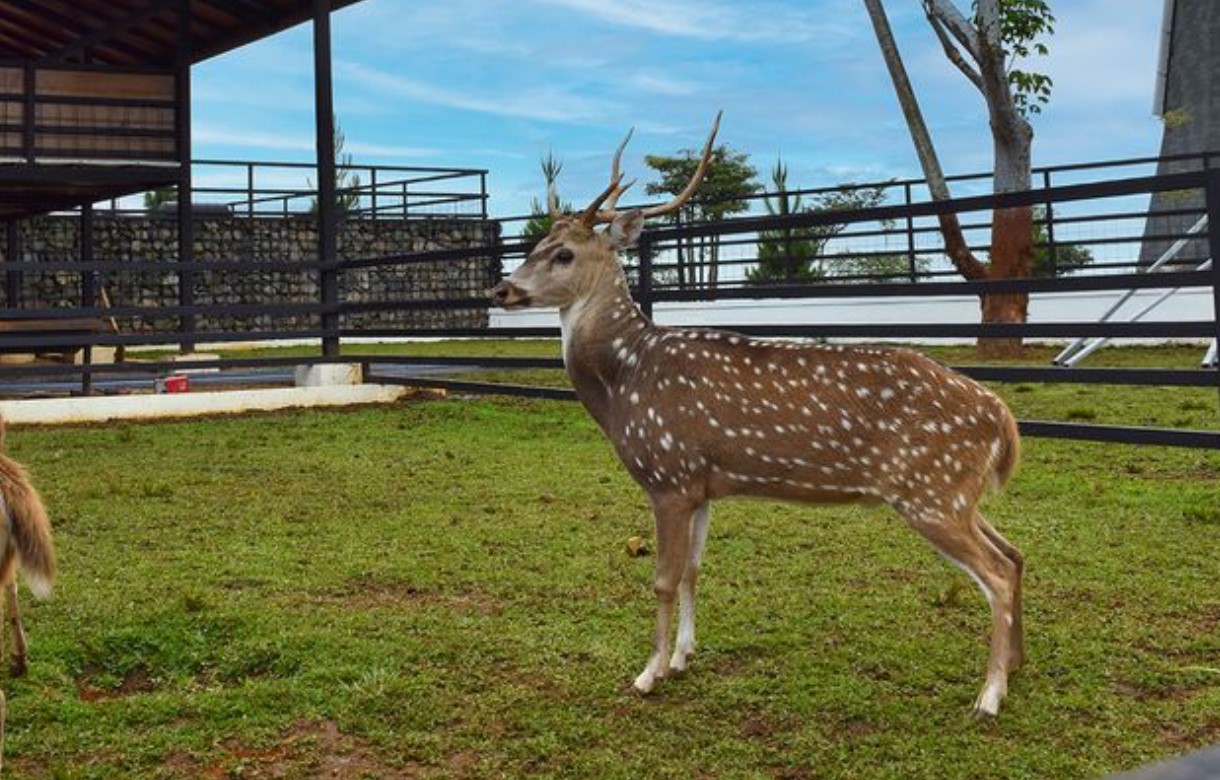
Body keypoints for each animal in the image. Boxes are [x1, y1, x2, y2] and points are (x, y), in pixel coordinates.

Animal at [490, 112, 1024, 717]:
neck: (623, 382)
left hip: (932, 491)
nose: (501, 288)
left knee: (997, 573)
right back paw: (1015, 666)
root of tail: (1002, 417)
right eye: (537, 242)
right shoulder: (701, 484)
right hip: (954, 493)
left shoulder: (668, 476)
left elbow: (663, 579)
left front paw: (648, 673)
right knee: (1015, 554)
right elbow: (695, 569)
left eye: (564, 254)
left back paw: (989, 696)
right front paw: (683, 656)